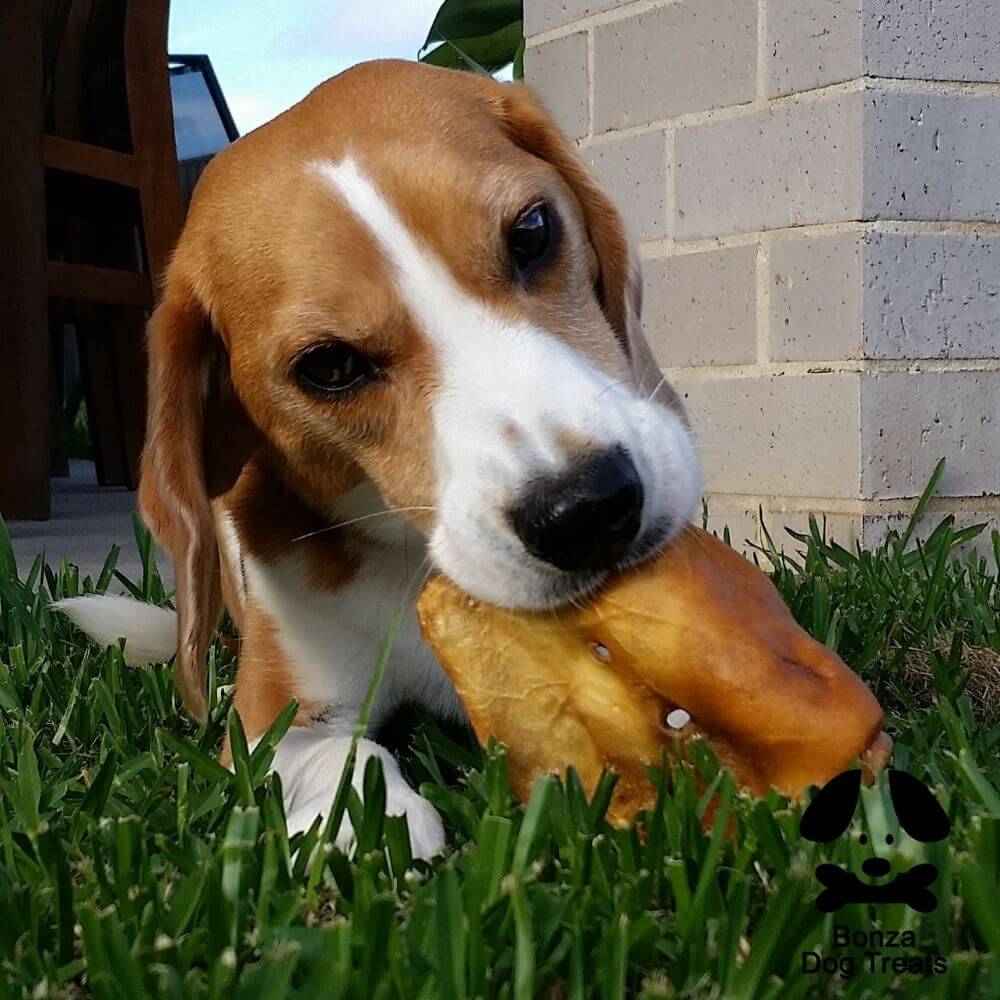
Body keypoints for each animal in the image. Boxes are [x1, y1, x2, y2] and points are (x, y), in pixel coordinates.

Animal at [58, 58, 700, 860]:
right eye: (329, 366)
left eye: (532, 231)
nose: (587, 508)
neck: (408, 560)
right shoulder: (270, 721)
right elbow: (344, 750)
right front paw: (375, 822)